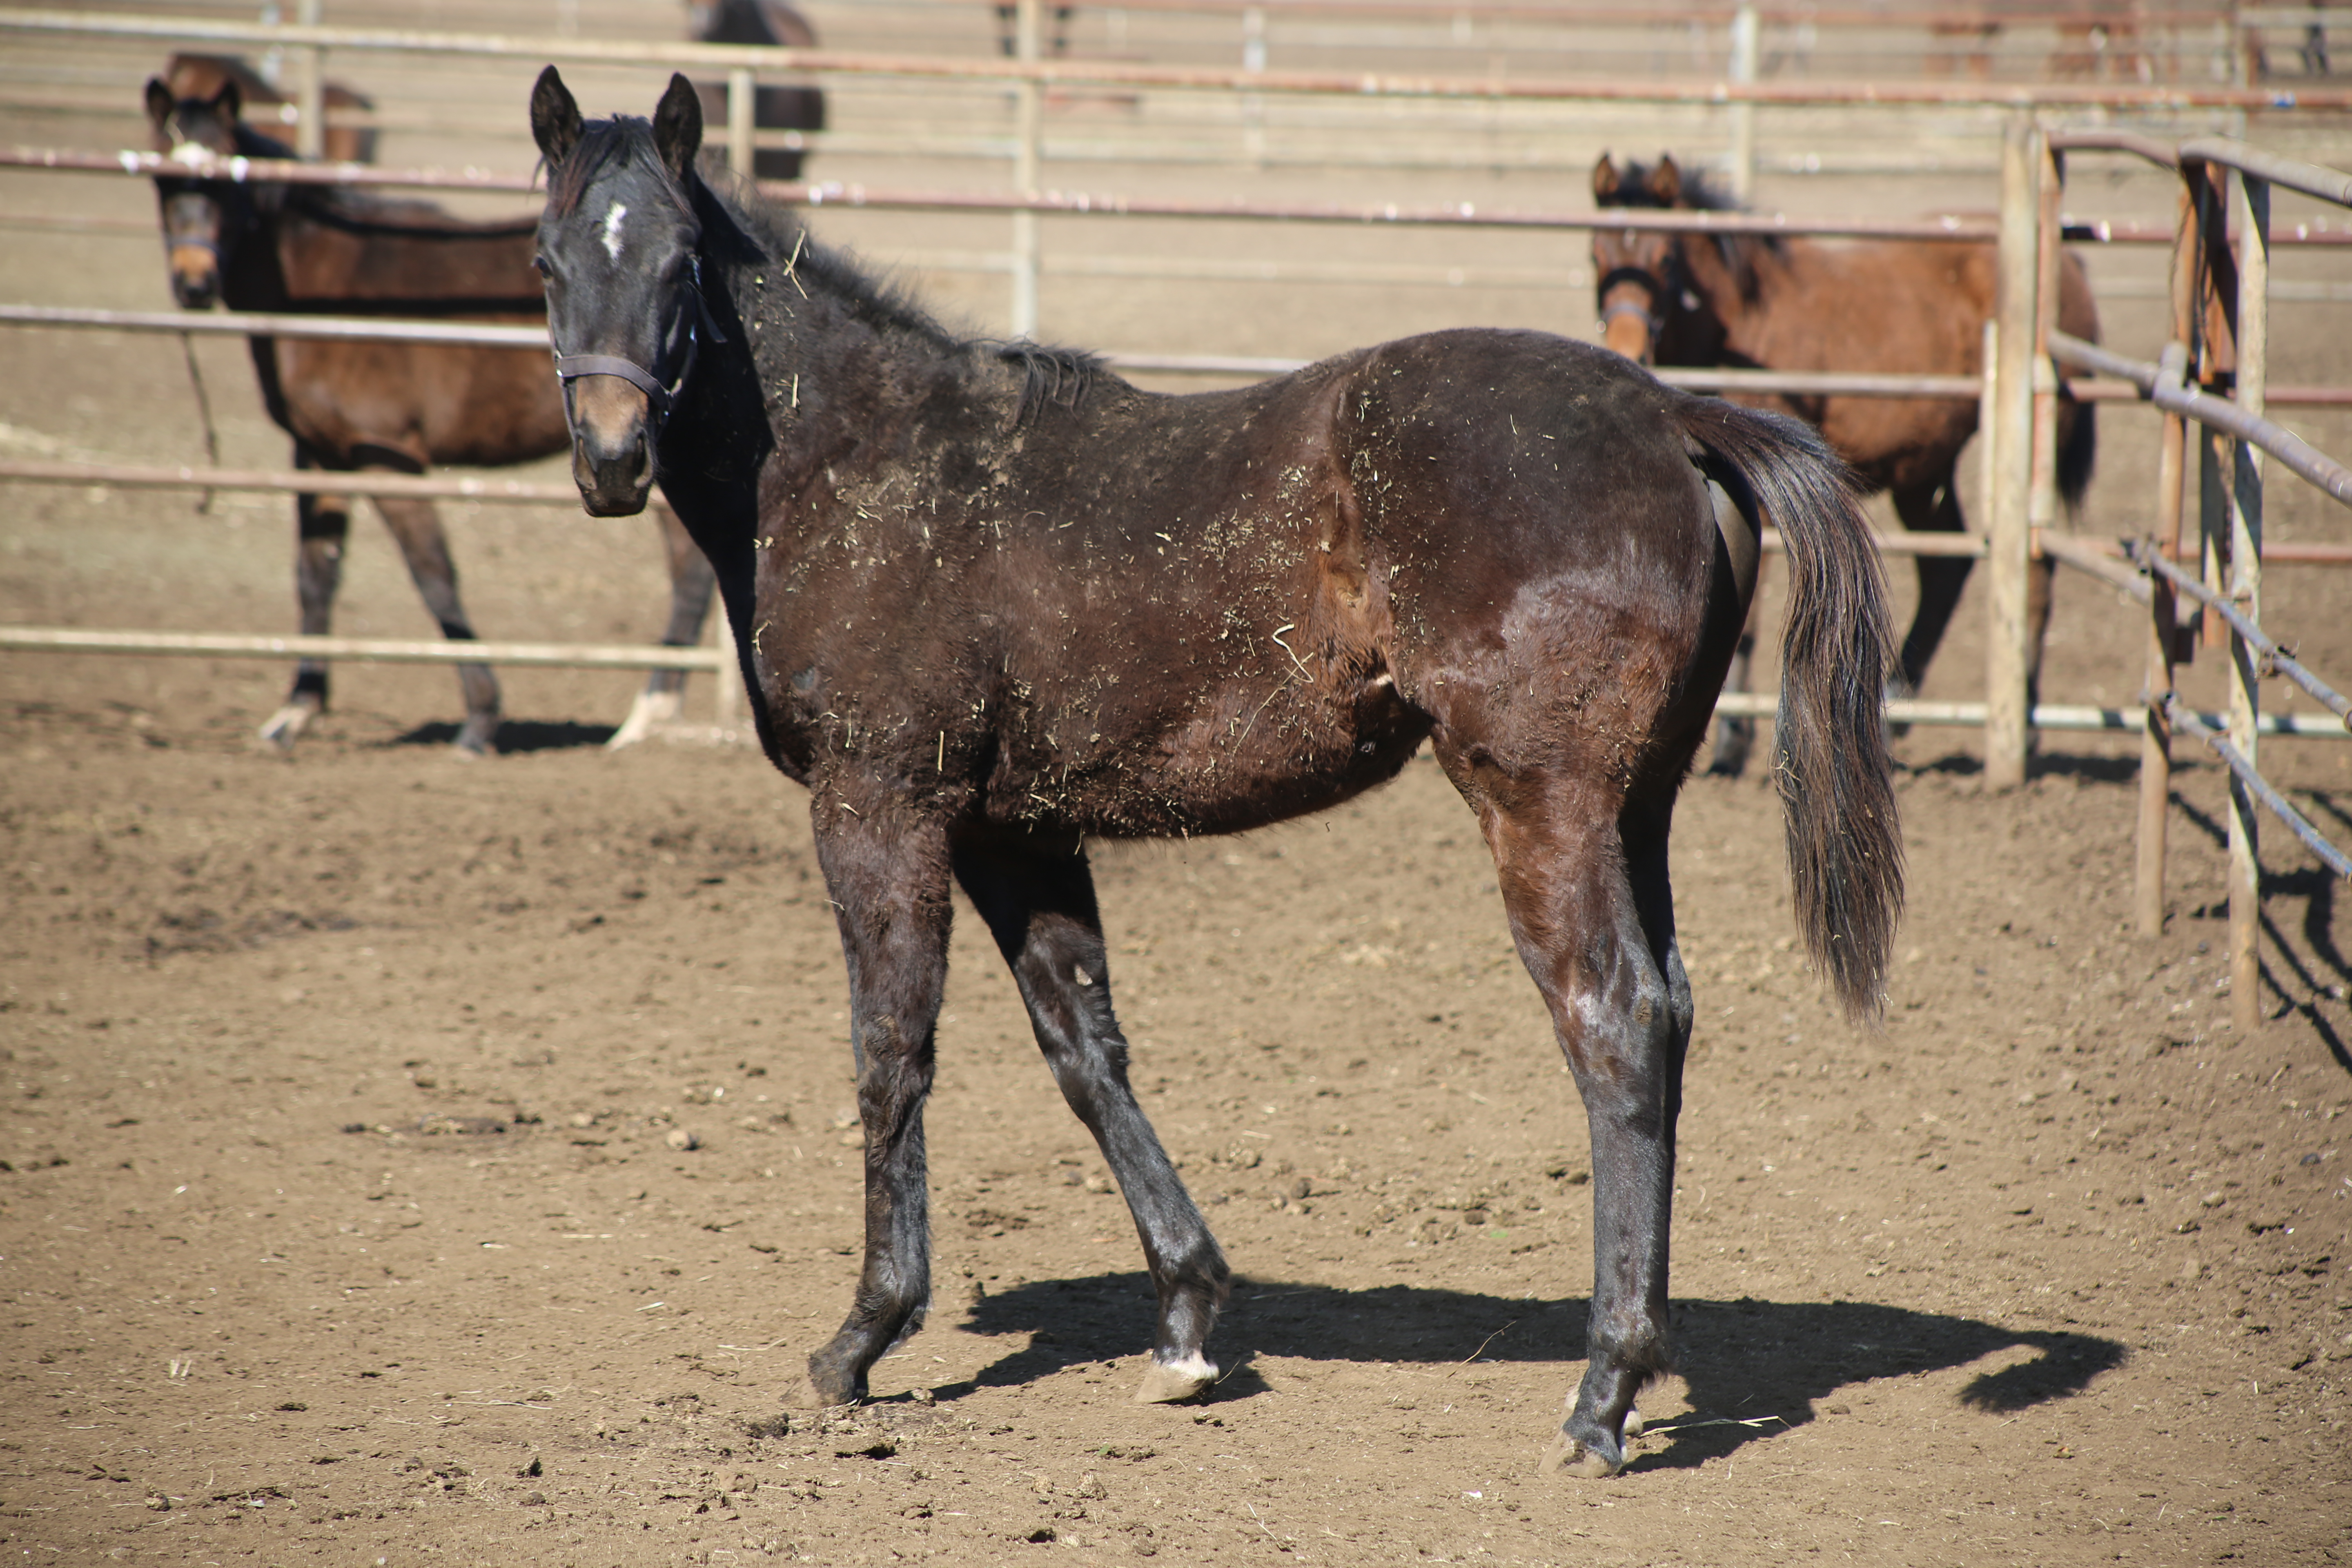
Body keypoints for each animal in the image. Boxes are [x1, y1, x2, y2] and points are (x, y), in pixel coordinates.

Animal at [145, 60, 715, 747]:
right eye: (160, 178)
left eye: (228, 178)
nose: (194, 283)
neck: (325, 287)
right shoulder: (320, 454)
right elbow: (316, 572)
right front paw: (298, 707)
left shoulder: (388, 458)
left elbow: (433, 575)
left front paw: (481, 717)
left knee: (690, 568)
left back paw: (650, 708)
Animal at [524, 67, 1900, 1476]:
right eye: (546, 261)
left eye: (682, 264)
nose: (612, 458)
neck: (865, 468)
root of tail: (1670, 414)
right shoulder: (1014, 830)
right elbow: (1085, 1049)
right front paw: (1186, 1323)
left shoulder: (881, 805)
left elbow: (890, 1050)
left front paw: (863, 1336)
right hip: (1639, 812)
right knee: (1669, 1014)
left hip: (1543, 809)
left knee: (1613, 1021)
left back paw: (1602, 1394)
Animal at [1590, 150, 2107, 775]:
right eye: (1596, 253)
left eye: (1665, 258)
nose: (1625, 344)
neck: (1741, 321)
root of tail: (2069, 262)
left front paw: (1733, 741)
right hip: (1924, 472)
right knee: (1945, 568)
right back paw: (1893, 714)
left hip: (2035, 455)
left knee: (2034, 579)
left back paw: (2022, 725)